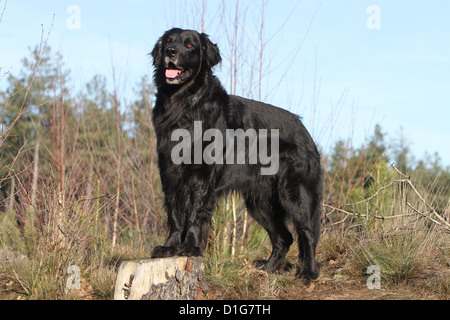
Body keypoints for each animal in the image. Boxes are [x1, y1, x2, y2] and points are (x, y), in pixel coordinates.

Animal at [151, 28, 324, 280]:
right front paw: (170, 247)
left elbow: (194, 214)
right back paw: (268, 269)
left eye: (190, 45)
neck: (184, 103)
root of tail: (304, 129)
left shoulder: (202, 177)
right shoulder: (170, 174)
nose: (170, 52)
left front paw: (191, 247)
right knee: (284, 238)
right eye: (167, 41)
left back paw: (308, 273)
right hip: (261, 202)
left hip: (295, 192)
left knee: (307, 233)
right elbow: (174, 214)